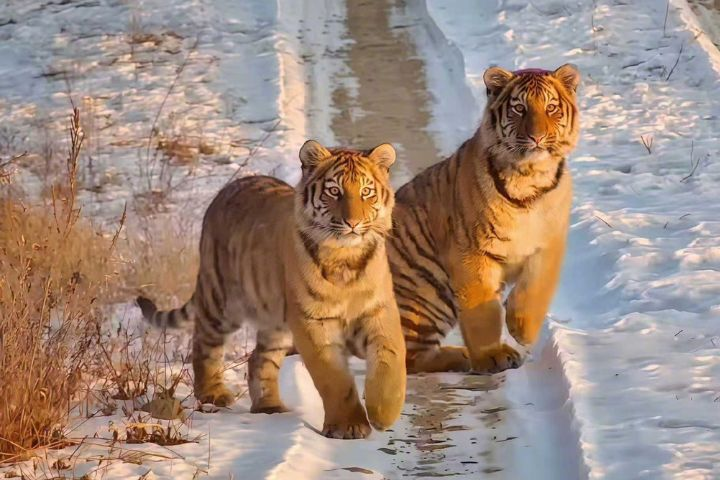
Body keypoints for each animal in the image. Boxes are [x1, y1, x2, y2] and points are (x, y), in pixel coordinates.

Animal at [136, 140, 406, 439]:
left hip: (277, 324)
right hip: (221, 302)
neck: (346, 258)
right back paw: (212, 393)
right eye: (334, 191)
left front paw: (384, 413)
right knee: (205, 342)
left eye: (366, 192)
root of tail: (229, 188)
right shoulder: (313, 322)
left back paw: (269, 406)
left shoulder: (379, 311)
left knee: (258, 358)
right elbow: (334, 378)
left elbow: (391, 360)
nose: (353, 223)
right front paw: (349, 425)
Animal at [388, 64, 580, 374]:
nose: (537, 137)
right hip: (427, 293)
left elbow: (536, 289)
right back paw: (463, 357)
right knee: (409, 356)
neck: (529, 177)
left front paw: (522, 329)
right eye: (519, 108)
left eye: (551, 107)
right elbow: (483, 312)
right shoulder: (471, 251)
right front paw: (492, 355)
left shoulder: (548, 244)